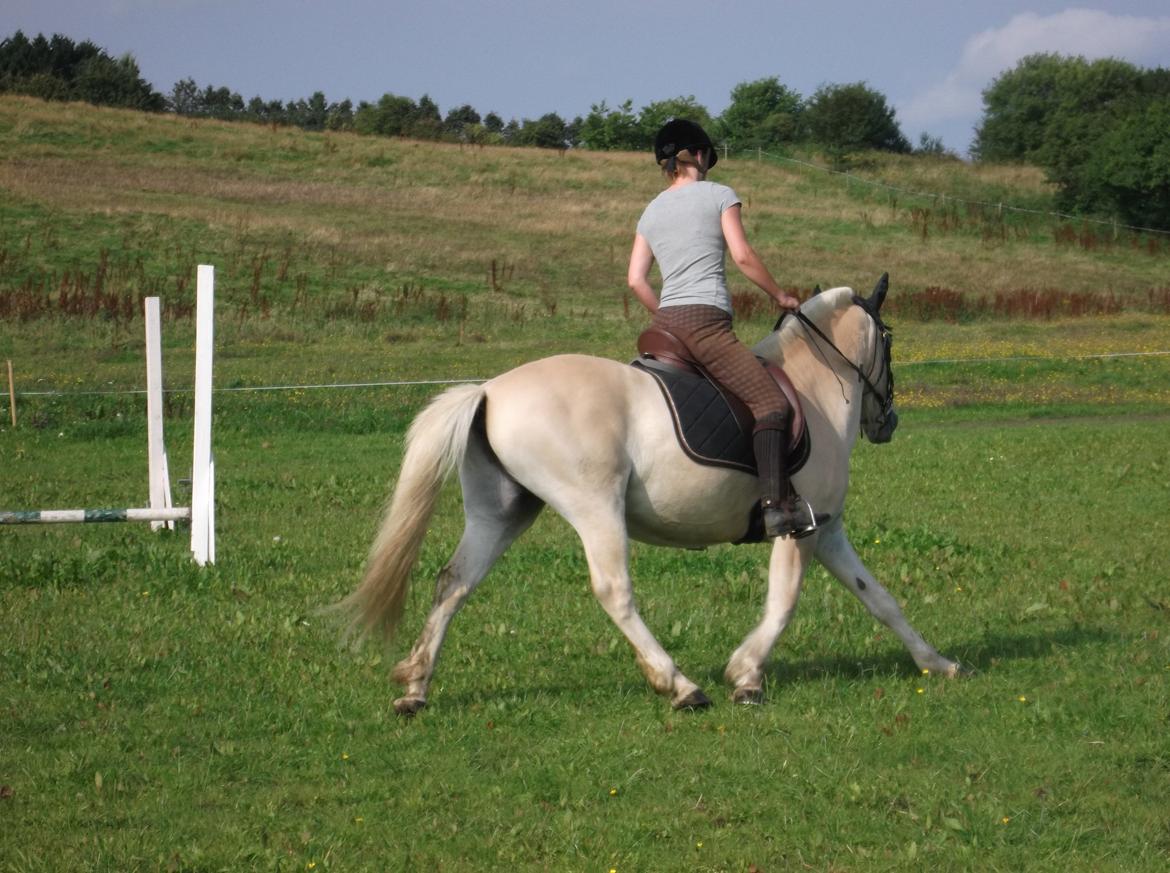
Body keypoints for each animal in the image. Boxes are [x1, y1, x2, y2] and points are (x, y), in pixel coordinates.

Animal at [339, 275, 959, 711]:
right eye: (889, 340)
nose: (888, 422)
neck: (813, 387)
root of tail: (489, 390)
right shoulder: (801, 529)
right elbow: (783, 603)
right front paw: (745, 675)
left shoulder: (826, 528)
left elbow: (879, 598)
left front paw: (937, 662)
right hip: (595, 508)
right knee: (614, 591)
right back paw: (680, 685)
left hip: (502, 512)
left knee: (455, 582)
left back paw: (415, 686)